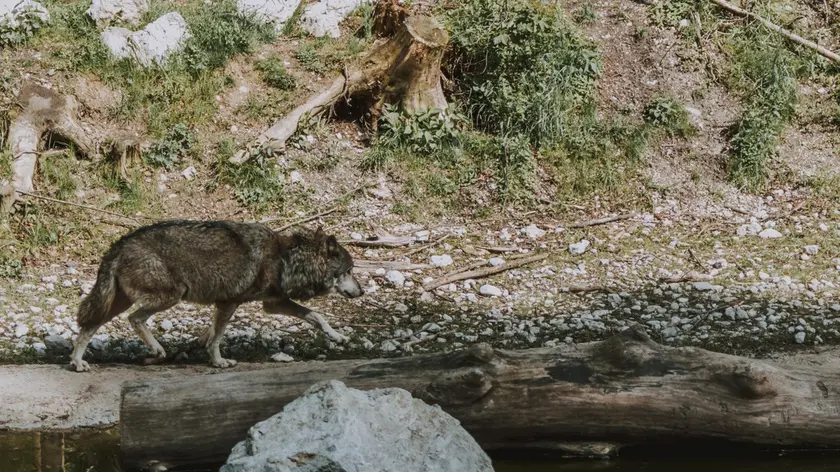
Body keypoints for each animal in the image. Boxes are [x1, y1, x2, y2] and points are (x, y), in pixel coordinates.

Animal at [69, 220, 363, 372]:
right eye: (349, 271)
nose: (361, 291)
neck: (285, 259)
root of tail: (118, 245)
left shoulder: (273, 303)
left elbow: (317, 317)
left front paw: (337, 337)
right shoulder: (228, 302)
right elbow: (218, 338)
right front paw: (219, 361)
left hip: (118, 301)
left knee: (89, 326)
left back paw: (78, 362)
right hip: (171, 295)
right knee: (135, 319)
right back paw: (157, 350)